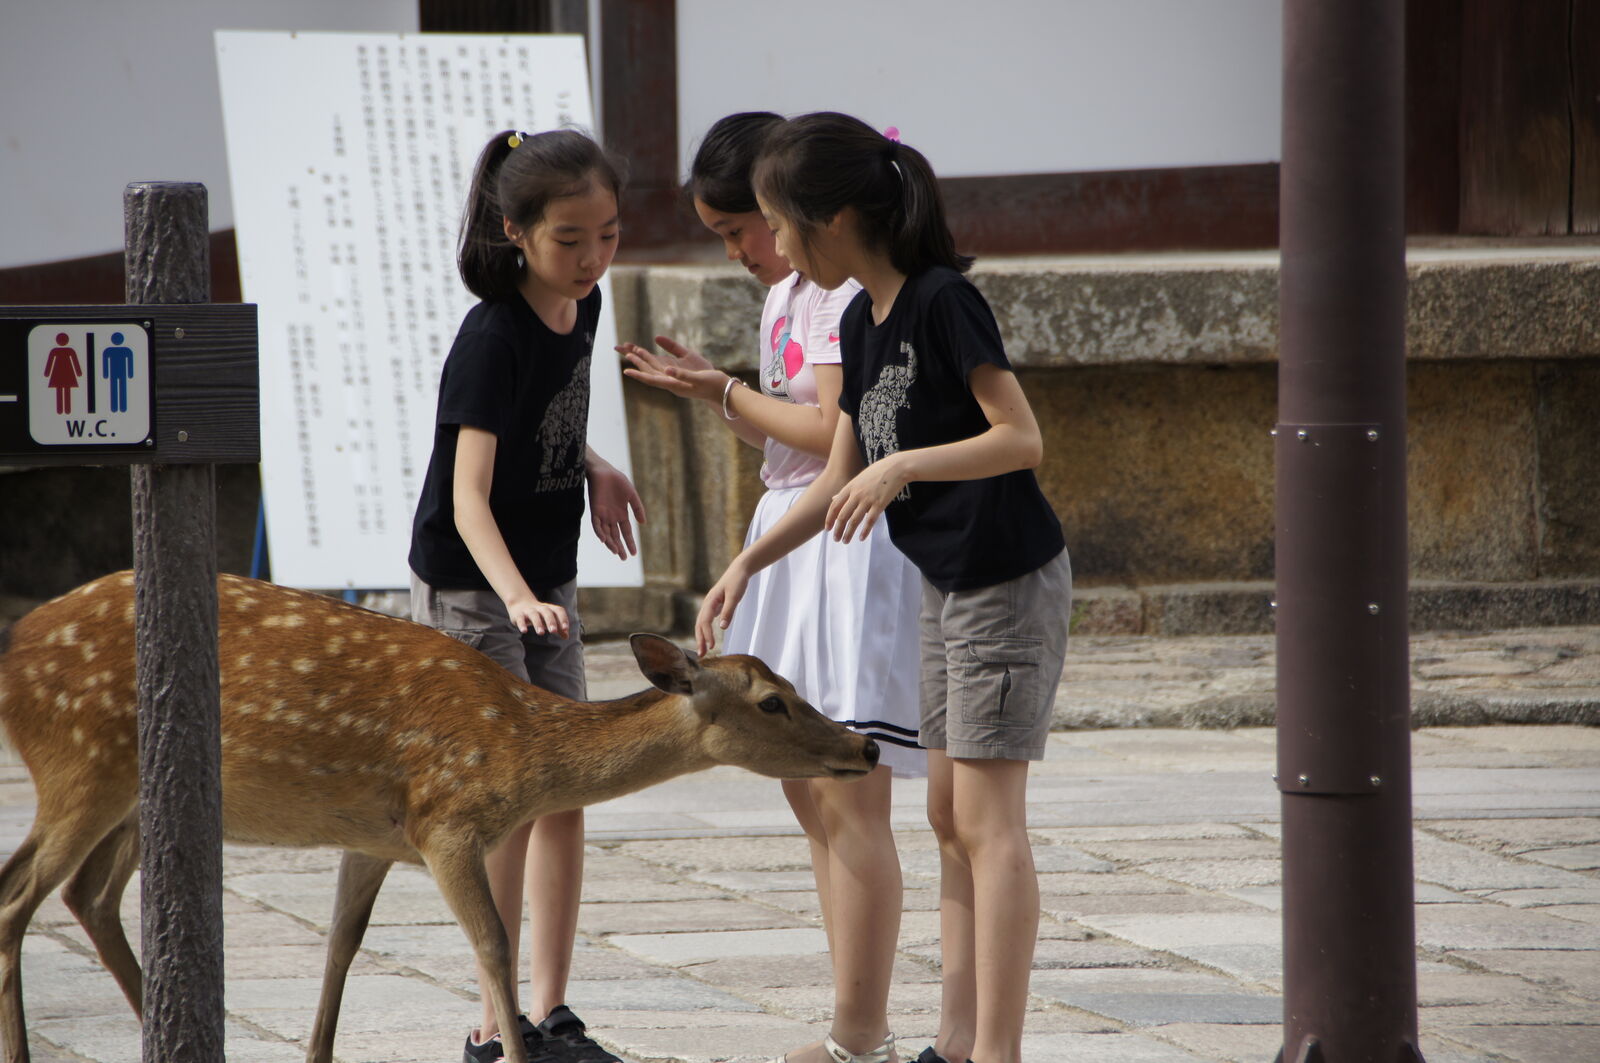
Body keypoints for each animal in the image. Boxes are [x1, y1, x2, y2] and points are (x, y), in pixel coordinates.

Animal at [0, 570, 879, 1063]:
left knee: (87, 893)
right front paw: (513, 1053)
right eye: (772, 699)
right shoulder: (447, 819)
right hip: (80, 763)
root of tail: (13, 653)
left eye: (793, 680)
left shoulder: (373, 835)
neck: (520, 747)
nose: (864, 744)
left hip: (127, 795)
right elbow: (494, 942)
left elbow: (342, 944)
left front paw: (319, 1052)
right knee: (18, 894)